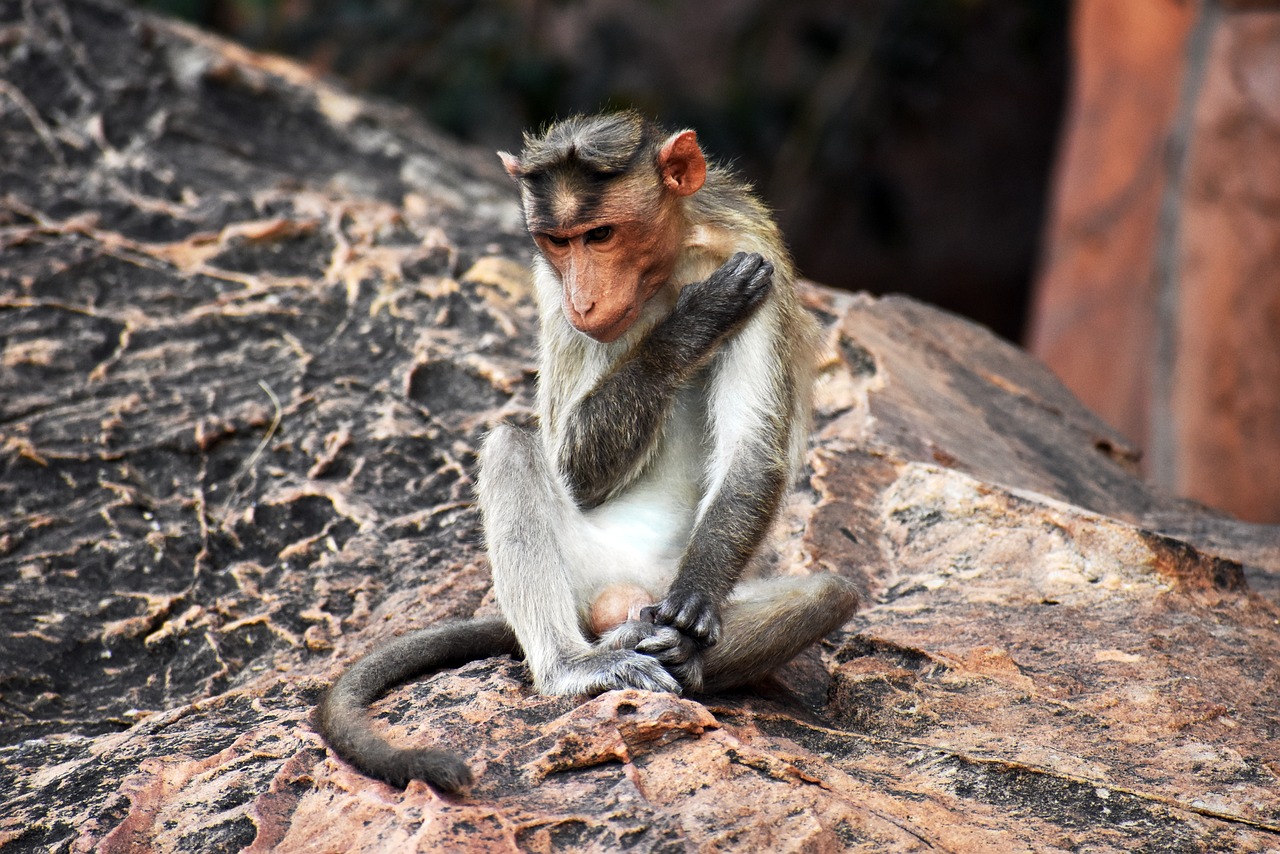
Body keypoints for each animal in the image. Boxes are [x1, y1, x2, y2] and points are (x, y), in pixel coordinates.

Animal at [317, 108, 860, 793]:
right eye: (558, 242)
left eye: (600, 235)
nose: (584, 298)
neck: (666, 270)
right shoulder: (549, 290)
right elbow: (569, 461)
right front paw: (690, 326)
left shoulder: (755, 256)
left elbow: (753, 450)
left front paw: (690, 616)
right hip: (580, 568)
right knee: (513, 446)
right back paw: (576, 665)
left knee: (828, 595)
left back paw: (674, 655)